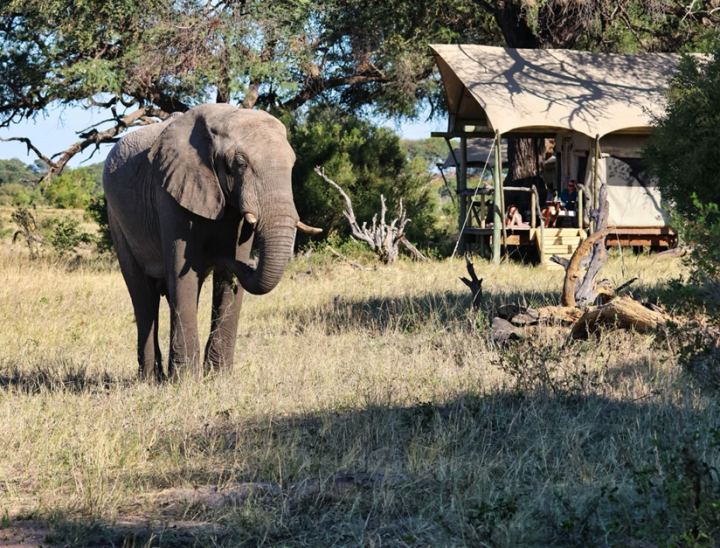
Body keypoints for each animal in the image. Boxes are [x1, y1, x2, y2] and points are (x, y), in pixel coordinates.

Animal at [104, 105, 320, 384]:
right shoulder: (170, 192)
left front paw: (219, 377)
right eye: (240, 163)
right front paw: (185, 382)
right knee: (144, 296)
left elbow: (223, 283)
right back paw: (150, 379)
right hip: (117, 219)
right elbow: (181, 273)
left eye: (293, 163)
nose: (226, 258)